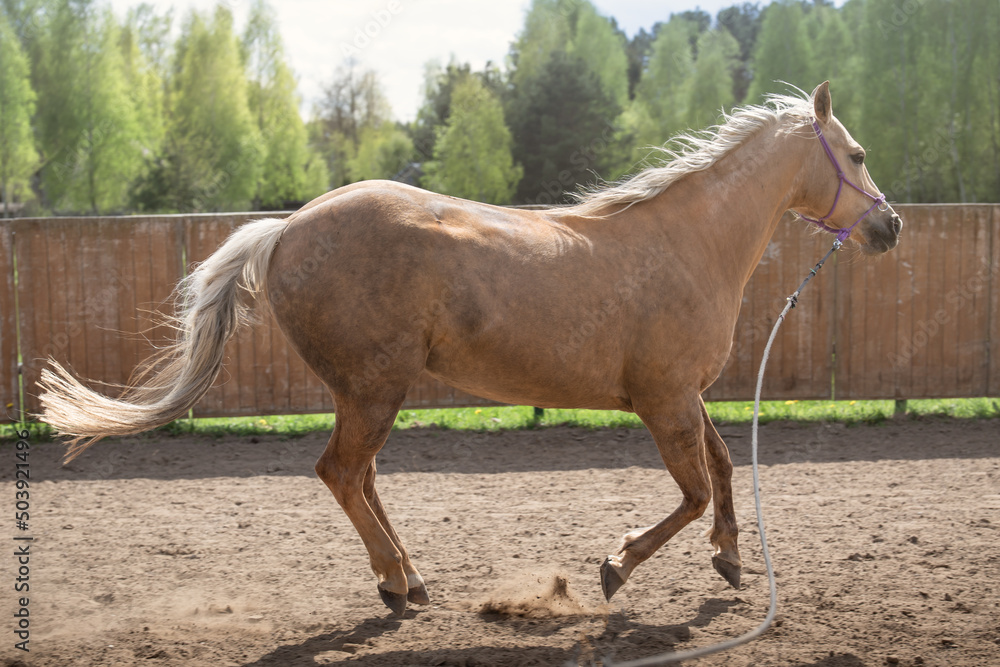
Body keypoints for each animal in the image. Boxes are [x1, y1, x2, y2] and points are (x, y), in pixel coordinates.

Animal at [39, 82, 902, 616]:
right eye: (858, 155)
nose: (890, 225)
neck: (688, 244)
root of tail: (284, 230)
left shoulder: (684, 394)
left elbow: (721, 469)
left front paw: (729, 559)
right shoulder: (662, 400)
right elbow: (689, 493)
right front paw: (615, 567)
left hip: (368, 392)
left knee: (363, 478)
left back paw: (410, 578)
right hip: (374, 386)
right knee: (342, 472)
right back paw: (398, 582)